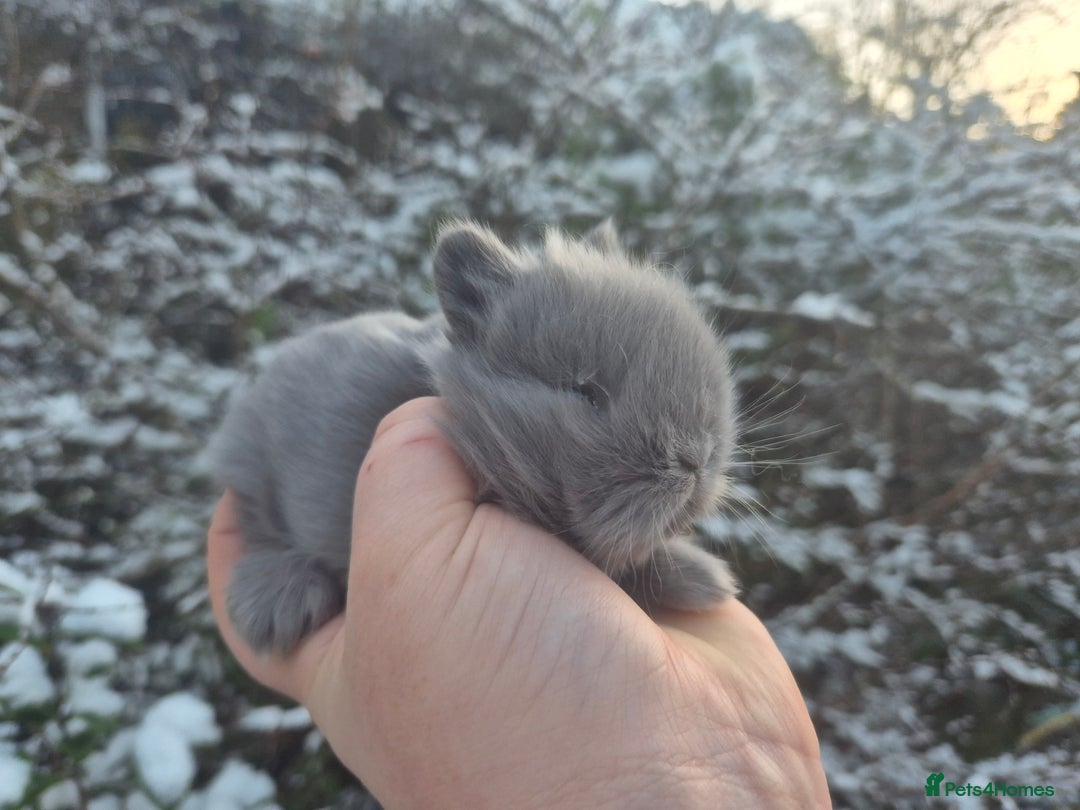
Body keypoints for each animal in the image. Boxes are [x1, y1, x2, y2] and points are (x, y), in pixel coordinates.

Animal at [210, 220, 738, 655]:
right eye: (585, 392)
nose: (695, 458)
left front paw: (705, 578)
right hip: (255, 466)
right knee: (258, 525)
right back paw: (281, 603)